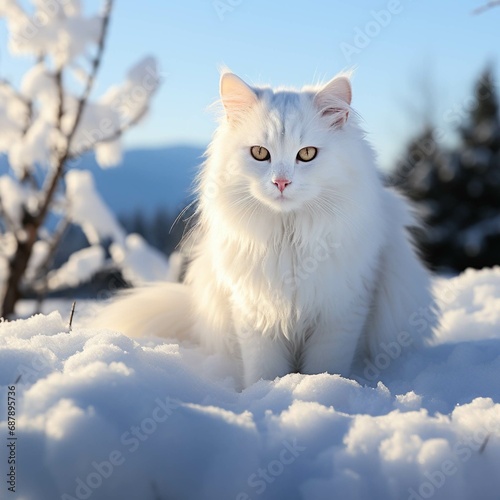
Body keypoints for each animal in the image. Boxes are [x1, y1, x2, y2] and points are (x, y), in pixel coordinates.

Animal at [94, 72, 438, 388]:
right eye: (260, 153)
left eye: (307, 154)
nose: (281, 182)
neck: (289, 239)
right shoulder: (253, 310)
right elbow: (264, 368)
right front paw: (265, 394)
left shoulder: (342, 309)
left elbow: (327, 364)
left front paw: (324, 387)